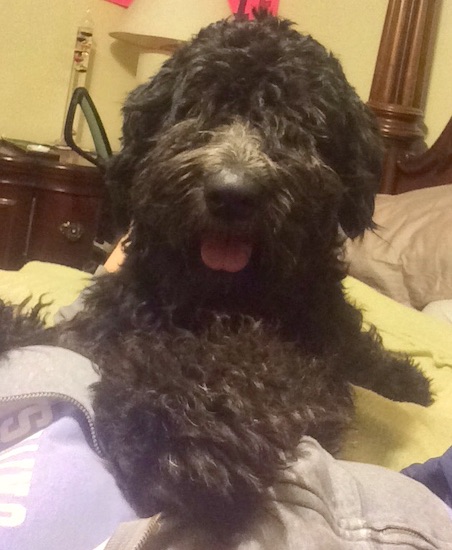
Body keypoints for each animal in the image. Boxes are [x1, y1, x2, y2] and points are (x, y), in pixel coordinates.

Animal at [0, 11, 430, 544]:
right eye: (198, 107)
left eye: (300, 121)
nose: (232, 193)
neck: (210, 303)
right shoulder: (92, 326)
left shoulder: (310, 363)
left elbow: (254, 363)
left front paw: (185, 428)